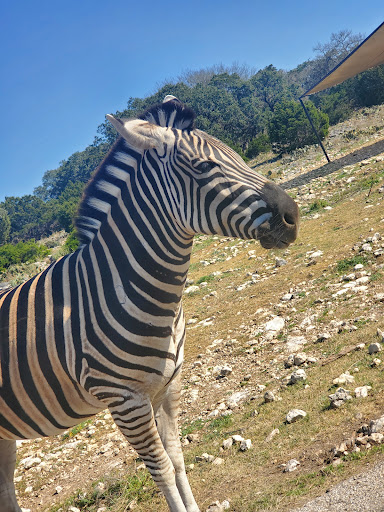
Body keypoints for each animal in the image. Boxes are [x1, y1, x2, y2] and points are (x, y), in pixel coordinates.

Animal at [0, 97, 300, 512]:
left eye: (238, 155)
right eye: (203, 167)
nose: (293, 216)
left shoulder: (167, 387)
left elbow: (178, 459)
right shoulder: (126, 402)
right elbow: (161, 470)